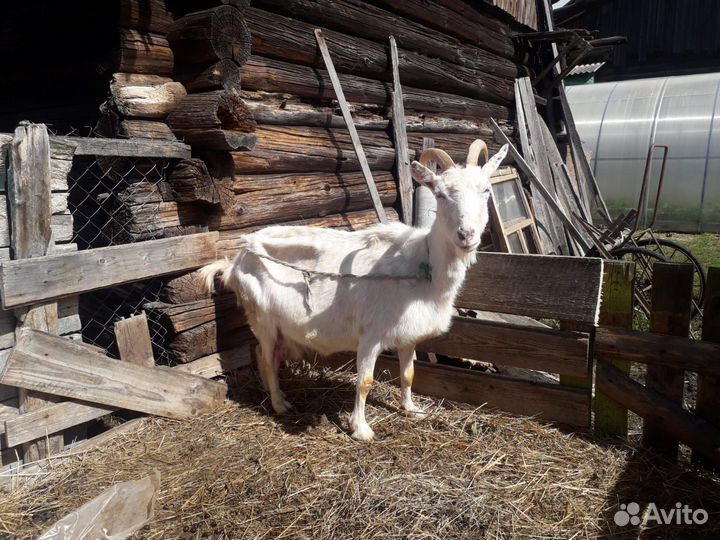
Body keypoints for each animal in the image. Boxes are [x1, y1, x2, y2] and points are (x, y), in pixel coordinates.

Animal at [200, 140, 508, 441]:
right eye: (441, 194)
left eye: (486, 190)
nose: (466, 235)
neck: (422, 264)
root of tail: (235, 259)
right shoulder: (371, 334)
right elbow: (365, 381)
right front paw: (361, 429)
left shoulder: (408, 335)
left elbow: (409, 374)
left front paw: (412, 409)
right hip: (260, 316)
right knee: (265, 357)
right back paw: (279, 404)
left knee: (266, 355)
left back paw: (274, 393)